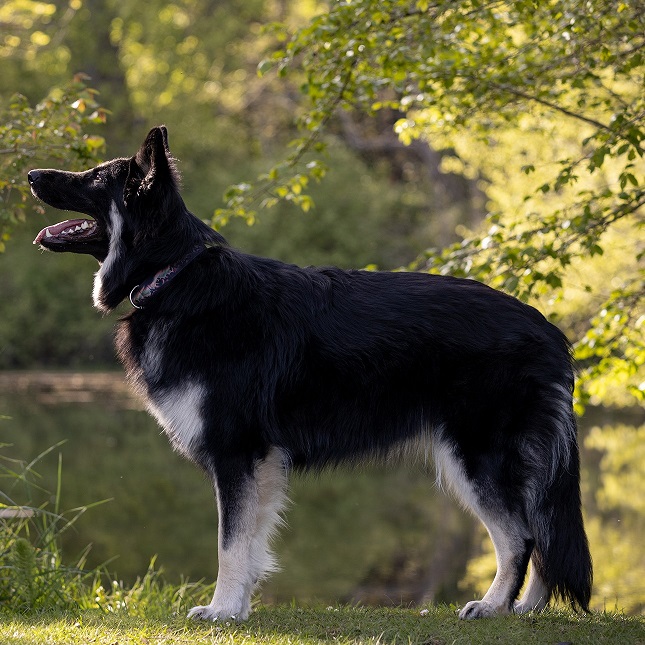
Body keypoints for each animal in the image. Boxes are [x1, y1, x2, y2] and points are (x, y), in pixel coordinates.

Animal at [31, 124, 592, 620]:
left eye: (93, 177)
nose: (32, 173)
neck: (174, 277)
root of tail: (548, 330)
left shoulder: (238, 454)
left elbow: (229, 544)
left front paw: (221, 611)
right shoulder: (259, 464)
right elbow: (249, 544)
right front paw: (238, 609)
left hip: (475, 458)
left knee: (521, 536)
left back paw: (494, 606)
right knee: (542, 534)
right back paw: (525, 608)